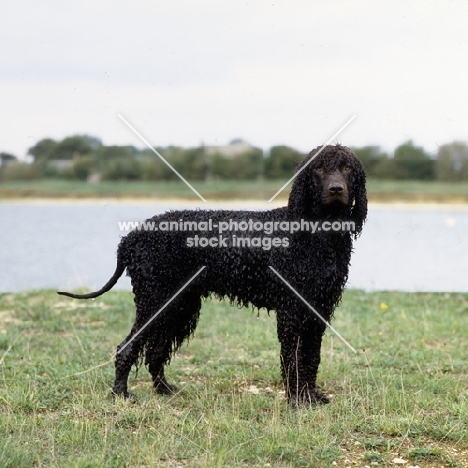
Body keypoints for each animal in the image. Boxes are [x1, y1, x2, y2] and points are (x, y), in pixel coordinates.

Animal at [58, 145, 366, 406]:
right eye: (319, 168)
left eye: (347, 168)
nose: (336, 188)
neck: (316, 235)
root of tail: (131, 237)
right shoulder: (291, 310)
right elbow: (293, 358)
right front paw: (296, 399)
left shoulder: (318, 309)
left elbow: (311, 357)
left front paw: (311, 395)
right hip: (155, 300)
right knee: (128, 346)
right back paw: (121, 393)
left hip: (179, 305)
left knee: (156, 349)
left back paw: (164, 389)